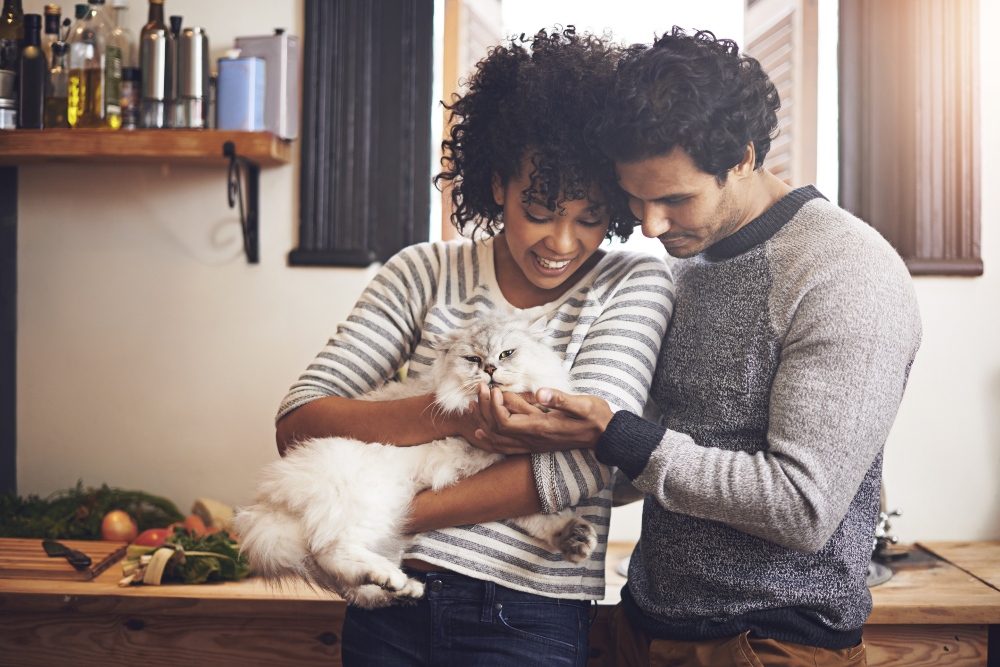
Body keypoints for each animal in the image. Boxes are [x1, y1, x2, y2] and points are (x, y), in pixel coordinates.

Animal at [232, 314, 592, 612]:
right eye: (473, 359)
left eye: (506, 354)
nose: (489, 369)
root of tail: (268, 503)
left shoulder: (498, 474)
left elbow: (536, 518)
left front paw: (573, 537)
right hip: (372, 500)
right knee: (332, 553)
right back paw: (389, 577)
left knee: (355, 589)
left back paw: (404, 589)